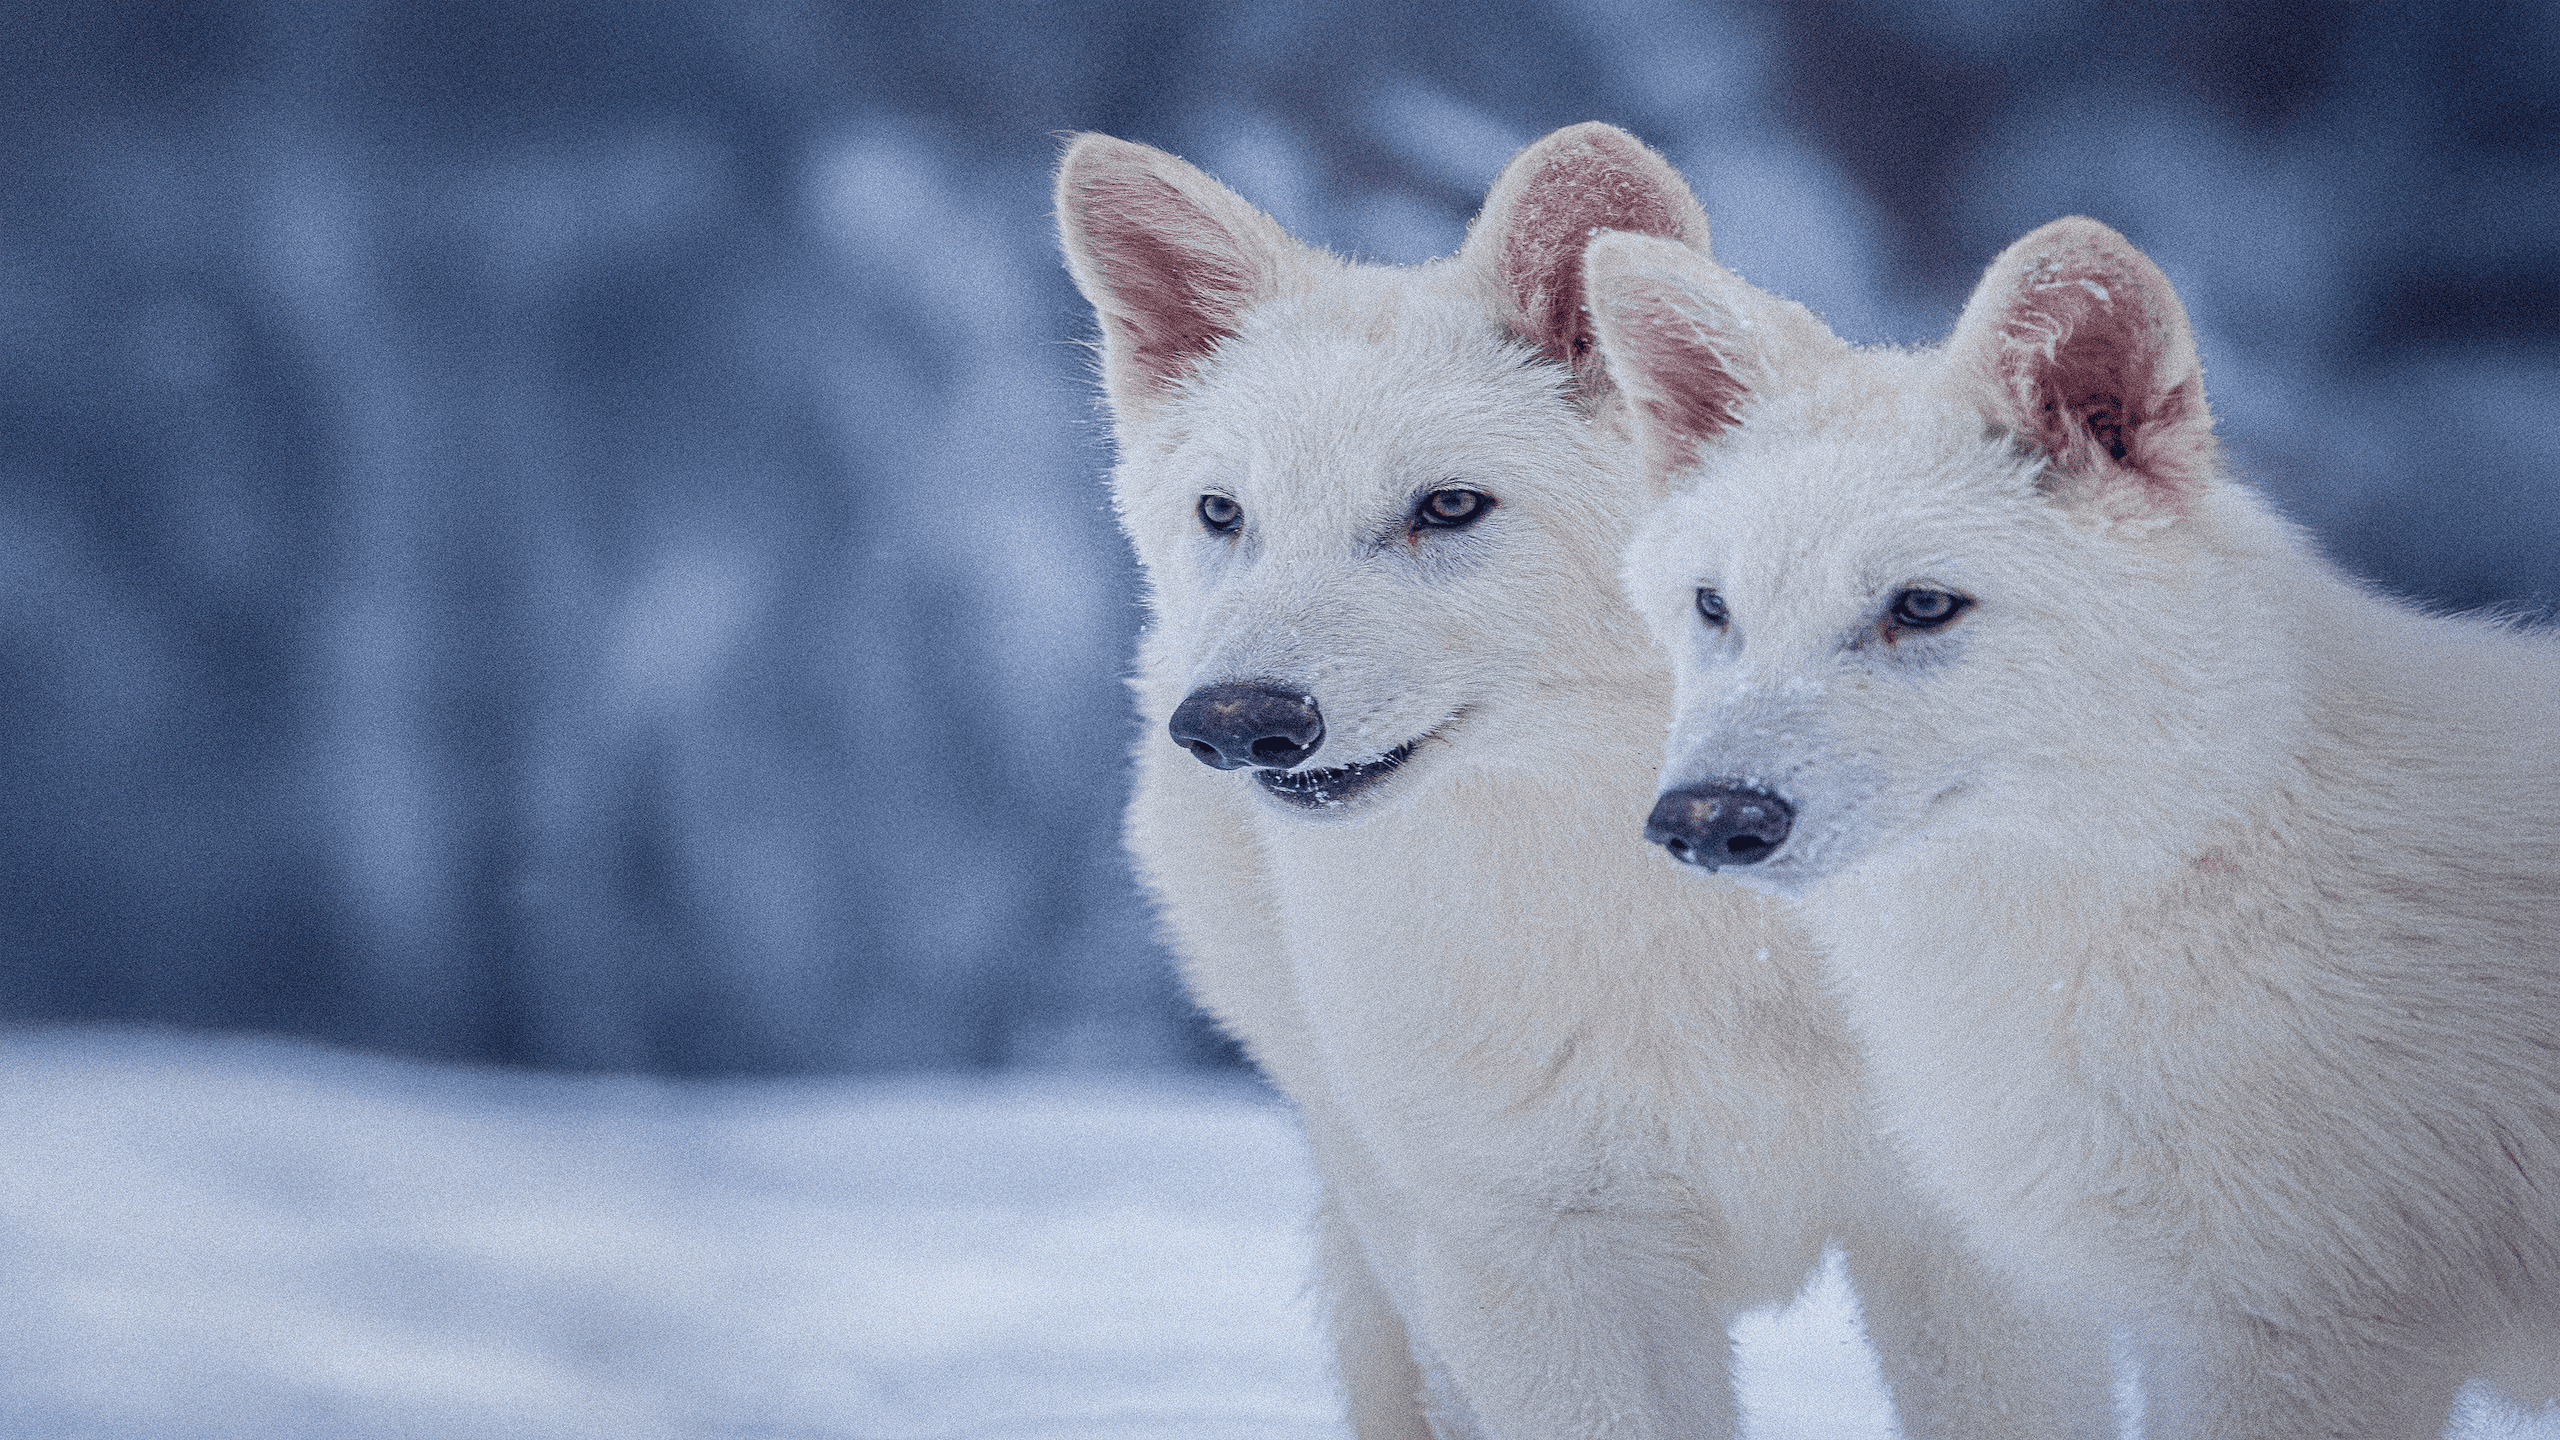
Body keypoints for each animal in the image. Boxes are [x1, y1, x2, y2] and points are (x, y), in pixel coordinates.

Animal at [1053, 124, 2111, 1439]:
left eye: (1449, 507)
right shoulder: (1540, 1267)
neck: (1687, 922)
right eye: (1223, 514)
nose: (1238, 723)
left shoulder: (1966, 1249)